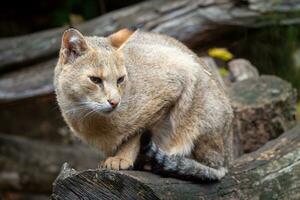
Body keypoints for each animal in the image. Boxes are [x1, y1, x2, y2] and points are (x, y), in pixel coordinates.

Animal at [54, 27, 234, 181]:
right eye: (95, 80)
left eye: (120, 79)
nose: (115, 102)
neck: (86, 115)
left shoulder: (176, 80)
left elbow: (137, 133)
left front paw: (122, 157)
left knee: (213, 168)